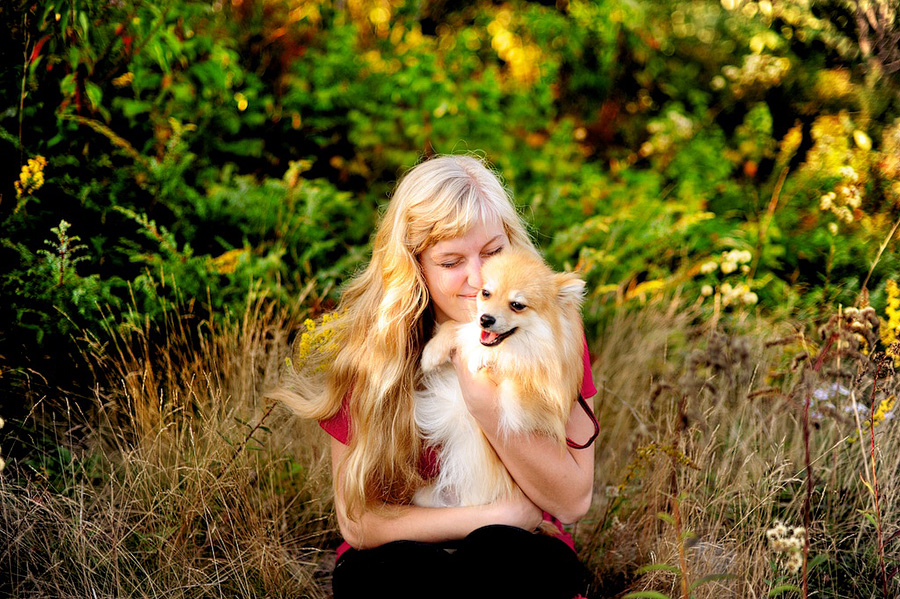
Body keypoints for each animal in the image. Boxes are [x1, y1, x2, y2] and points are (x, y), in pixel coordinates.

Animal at [414, 246, 588, 508]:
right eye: (485, 293)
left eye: (517, 305)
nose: (485, 319)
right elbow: (457, 326)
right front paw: (433, 352)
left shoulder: (533, 404)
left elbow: (514, 374)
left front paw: (485, 356)